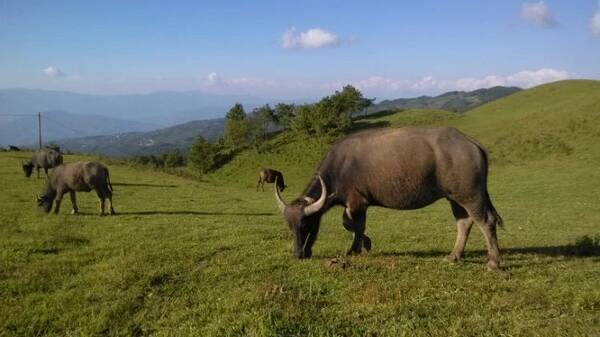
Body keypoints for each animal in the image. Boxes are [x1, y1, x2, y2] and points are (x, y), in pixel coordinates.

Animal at [274, 126, 504, 270]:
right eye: (290, 227)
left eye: (306, 225)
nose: (298, 254)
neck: (339, 167)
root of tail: (471, 143)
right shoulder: (353, 204)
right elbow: (350, 224)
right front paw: (365, 244)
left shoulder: (358, 202)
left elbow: (356, 225)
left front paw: (356, 248)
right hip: (454, 198)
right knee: (464, 222)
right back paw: (453, 256)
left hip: (470, 195)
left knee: (486, 221)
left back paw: (493, 262)